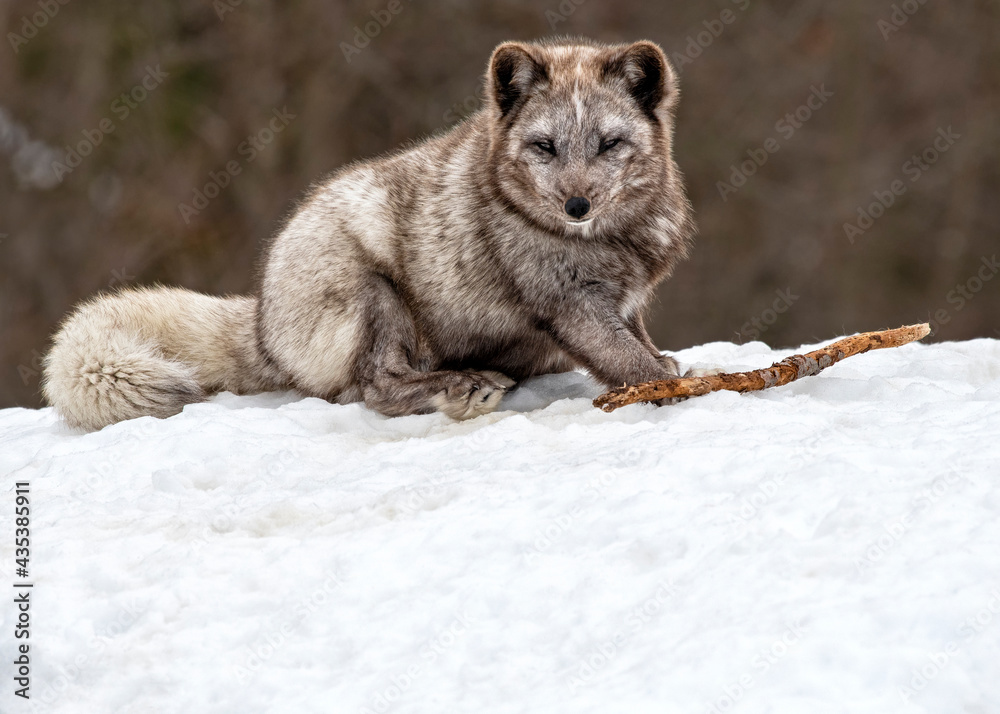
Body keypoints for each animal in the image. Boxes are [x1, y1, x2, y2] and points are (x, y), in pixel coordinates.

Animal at [42, 38, 696, 431]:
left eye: (609, 143)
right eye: (545, 146)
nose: (576, 205)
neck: (615, 241)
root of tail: (263, 325)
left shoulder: (624, 303)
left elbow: (643, 343)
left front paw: (670, 365)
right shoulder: (572, 307)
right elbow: (632, 364)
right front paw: (676, 388)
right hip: (374, 290)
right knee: (376, 388)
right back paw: (461, 388)